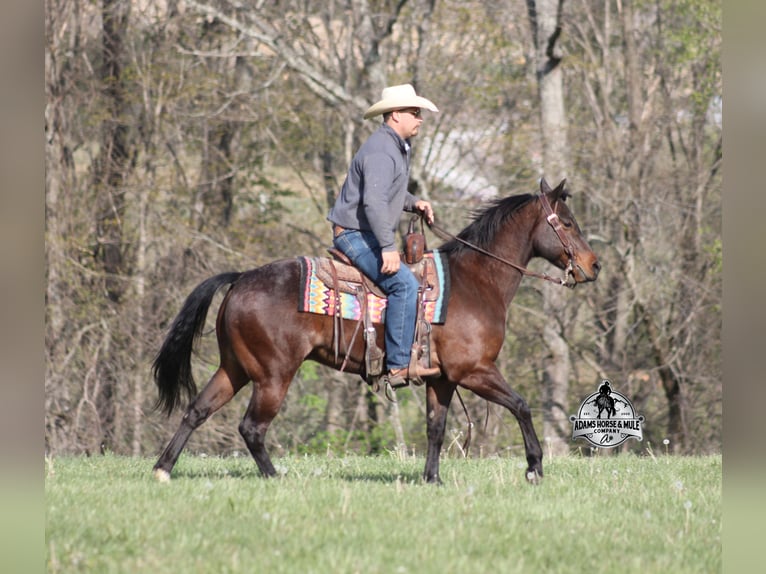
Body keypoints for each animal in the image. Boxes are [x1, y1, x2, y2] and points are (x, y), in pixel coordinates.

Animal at [151, 178, 600, 484]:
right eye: (568, 223)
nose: (594, 265)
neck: (476, 281)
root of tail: (241, 278)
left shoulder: (442, 379)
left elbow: (435, 428)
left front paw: (432, 478)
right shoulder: (474, 371)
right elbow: (522, 406)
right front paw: (534, 467)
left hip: (236, 368)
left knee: (197, 411)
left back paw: (163, 468)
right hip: (273, 376)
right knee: (252, 428)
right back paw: (274, 476)